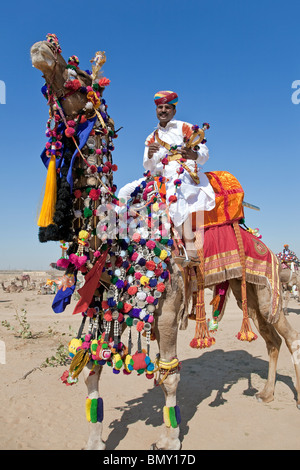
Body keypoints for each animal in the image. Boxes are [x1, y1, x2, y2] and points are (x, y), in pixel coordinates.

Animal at [31, 34, 300, 452]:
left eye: (78, 76)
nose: (43, 48)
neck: (119, 246)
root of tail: (264, 245)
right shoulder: (101, 307)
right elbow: (91, 371)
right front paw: (94, 441)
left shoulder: (168, 311)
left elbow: (169, 375)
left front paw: (170, 438)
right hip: (248, 291)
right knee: (270, 338)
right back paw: (267, 394)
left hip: (269, 285)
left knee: (289, 336)